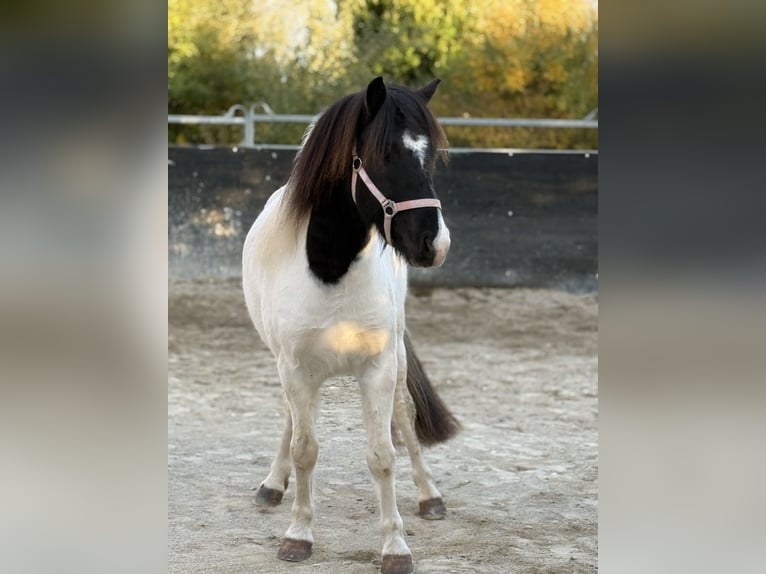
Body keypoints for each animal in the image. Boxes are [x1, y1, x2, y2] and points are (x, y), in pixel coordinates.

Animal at [242, 76, 461, 574]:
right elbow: (305, 448)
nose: (435, 244)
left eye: (430, 155)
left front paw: (395, 546)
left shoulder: (377, 367)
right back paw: (273, 484)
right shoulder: (295, 369)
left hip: (396, 361)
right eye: (385, 155)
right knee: (293, 422)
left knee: (405, 414)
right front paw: (298, 535)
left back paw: (430, 495)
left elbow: (383, 455)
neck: (330, 268)